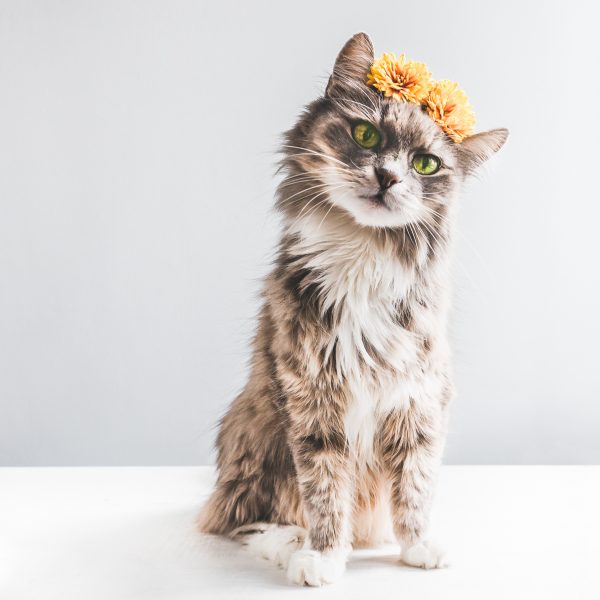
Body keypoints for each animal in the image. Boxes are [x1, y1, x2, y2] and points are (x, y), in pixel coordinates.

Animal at [199, 32, 508, 584]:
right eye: (366, 135)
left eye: (425, 164)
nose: (387, 177)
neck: (365, 253)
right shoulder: (312, 400)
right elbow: (324, 492)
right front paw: (323, 557)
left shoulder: (418, 398)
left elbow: (415, 485)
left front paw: (418, 547)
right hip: (256, 437)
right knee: (243, 517)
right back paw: (291, 545)